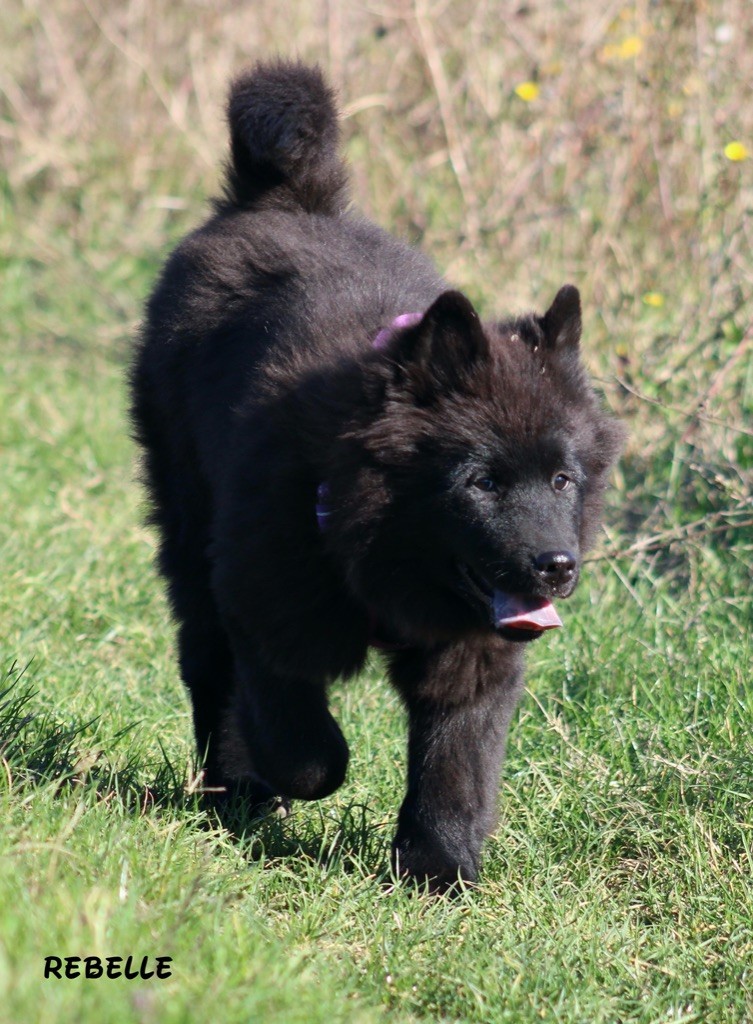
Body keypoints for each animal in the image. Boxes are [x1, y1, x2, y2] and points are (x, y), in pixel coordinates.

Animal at [131, 61, 622, 888]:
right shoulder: (262, 602)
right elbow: (305, 746)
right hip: (187, 523)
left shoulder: (473, 652)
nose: (556, 567)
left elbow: (457, 762)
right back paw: (232, 791)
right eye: (480, 482)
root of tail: (284, 198)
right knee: (206, 661)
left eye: (562, 480)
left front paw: (436, 870)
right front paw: (282, 786)